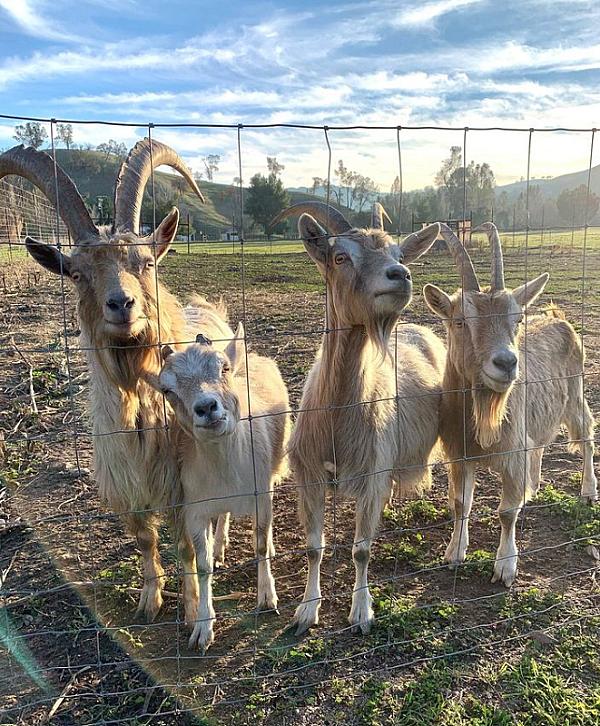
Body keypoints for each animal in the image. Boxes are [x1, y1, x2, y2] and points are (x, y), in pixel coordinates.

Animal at [0, 140, 231, 624]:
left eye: (145, 262)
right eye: (76, 273)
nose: (121, 304)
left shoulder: (182, 485)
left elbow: (186, 545)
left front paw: (189, 608)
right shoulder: (128, 488)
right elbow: (145, 540)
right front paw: (149, 600)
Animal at [142, 322, 290, 651]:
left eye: (223, 368)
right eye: (168, 390)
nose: (207, 407)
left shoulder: (261, 494)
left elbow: (260, 543)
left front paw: (267, 597)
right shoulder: (195, 509)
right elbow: (202, 564)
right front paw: (202, 628)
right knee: (223, 515)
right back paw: (220, 545)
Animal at [270, 201, 445, 635]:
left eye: (399, 254)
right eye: (340, 256)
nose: (401, 275)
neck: (336, 416)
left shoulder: (371, 475)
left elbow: (362, 551)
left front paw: (361, 611)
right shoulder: (309, 475)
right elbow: (313, 548)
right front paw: (306, 611)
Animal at [423, 222, 597, 586]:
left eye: (517, 320)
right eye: (460, 321)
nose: (506, 363)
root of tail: (558, 316)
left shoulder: (511, 453)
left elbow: (506, 512)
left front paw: (505, 566)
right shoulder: (460, 454)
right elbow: (460, 503)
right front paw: (454, 552)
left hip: (575, 395)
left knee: (586, 435)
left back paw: (588, 490)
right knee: (540, 443)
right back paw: (535, 486)